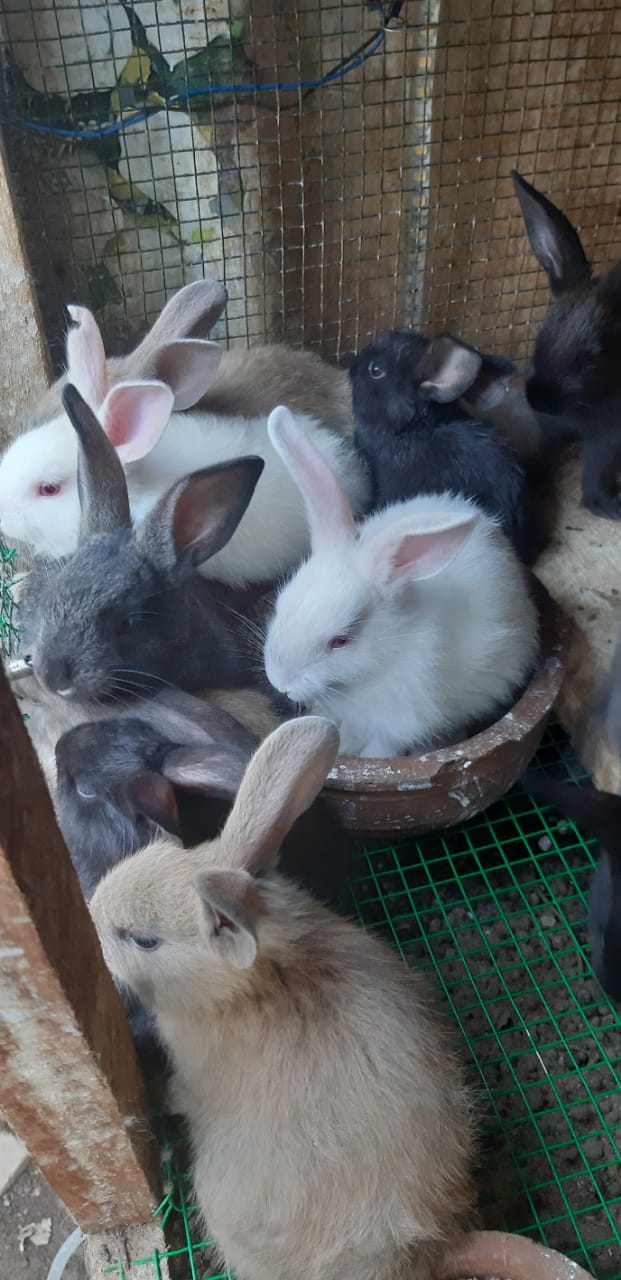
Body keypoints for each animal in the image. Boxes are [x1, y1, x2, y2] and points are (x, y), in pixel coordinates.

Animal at [513, 169, 621, 521]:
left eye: (593, 358)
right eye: (540, 335)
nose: (538, 400)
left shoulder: (608, 438)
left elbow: (596, 476)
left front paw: (607, 506)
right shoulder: (550, 429)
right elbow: (543, 453)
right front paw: (533, 481)